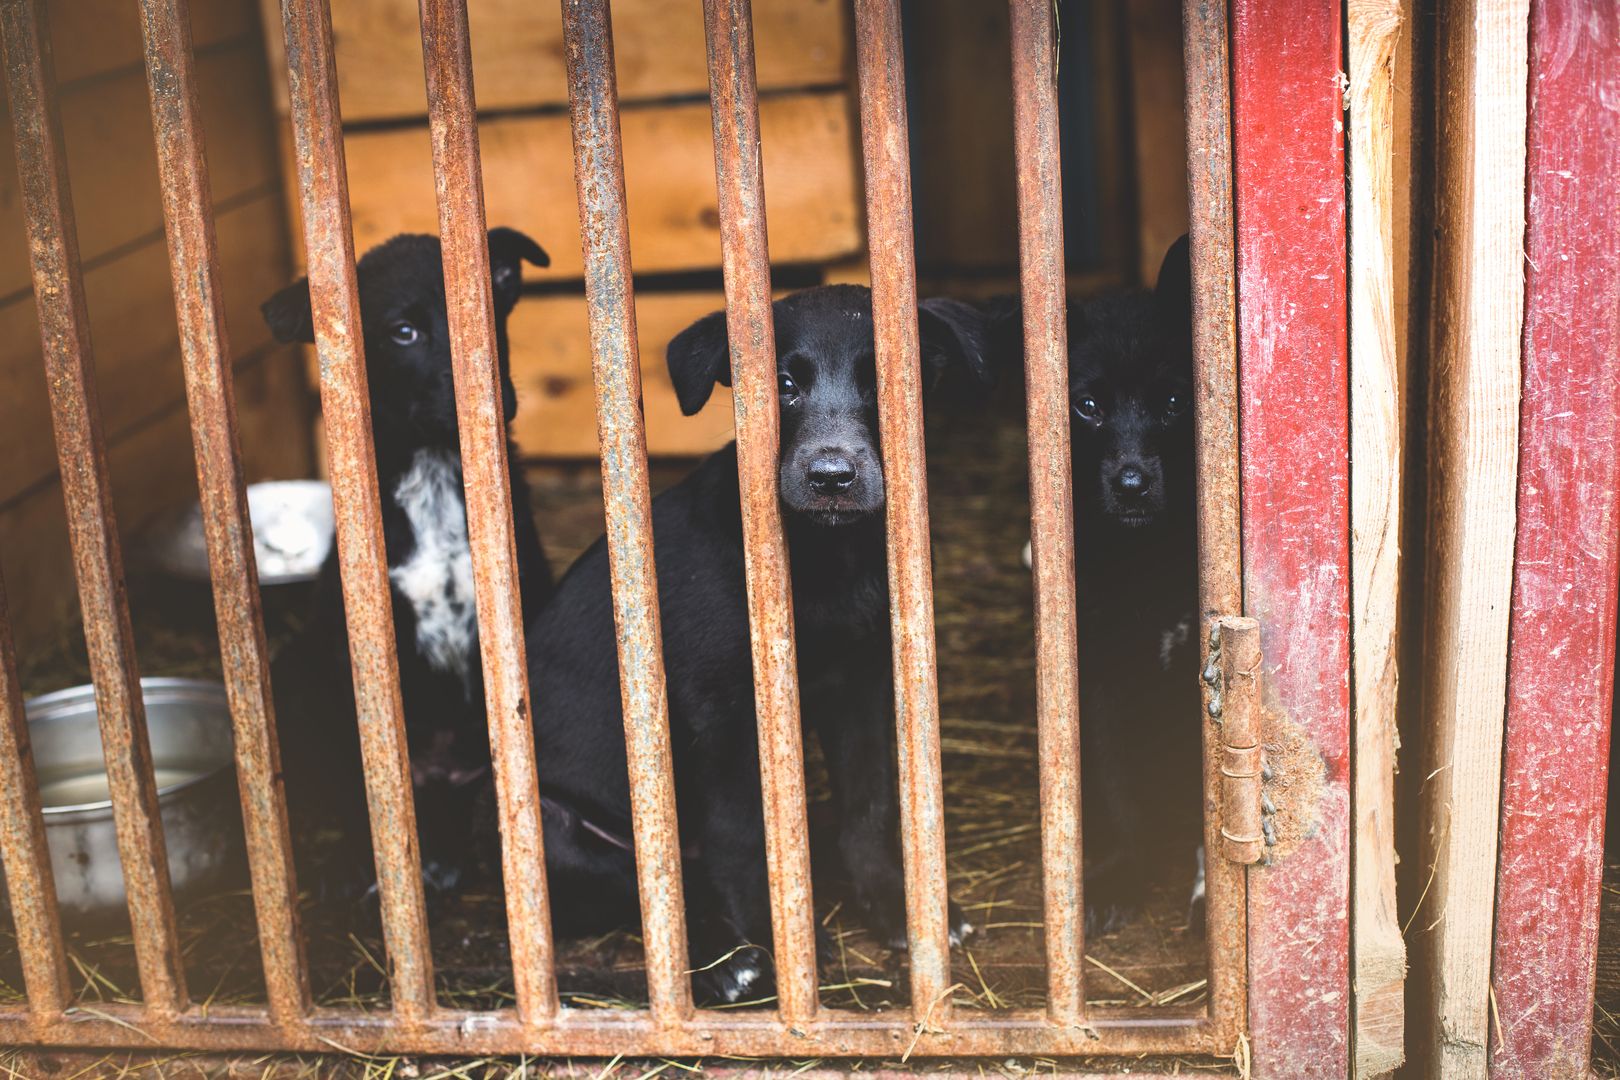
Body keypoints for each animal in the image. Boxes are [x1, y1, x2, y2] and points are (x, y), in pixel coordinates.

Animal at [531, 284, 984, 1003]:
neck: (823, 558)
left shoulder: (859, 683)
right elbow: (741, 833)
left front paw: (894, 906)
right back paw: (729, 960)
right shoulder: (721, 713)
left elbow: (868, 803)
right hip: (551, 825)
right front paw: (777, 940)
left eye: (884, 381)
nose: (832, 476)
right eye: (782, 386)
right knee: (652, 880)